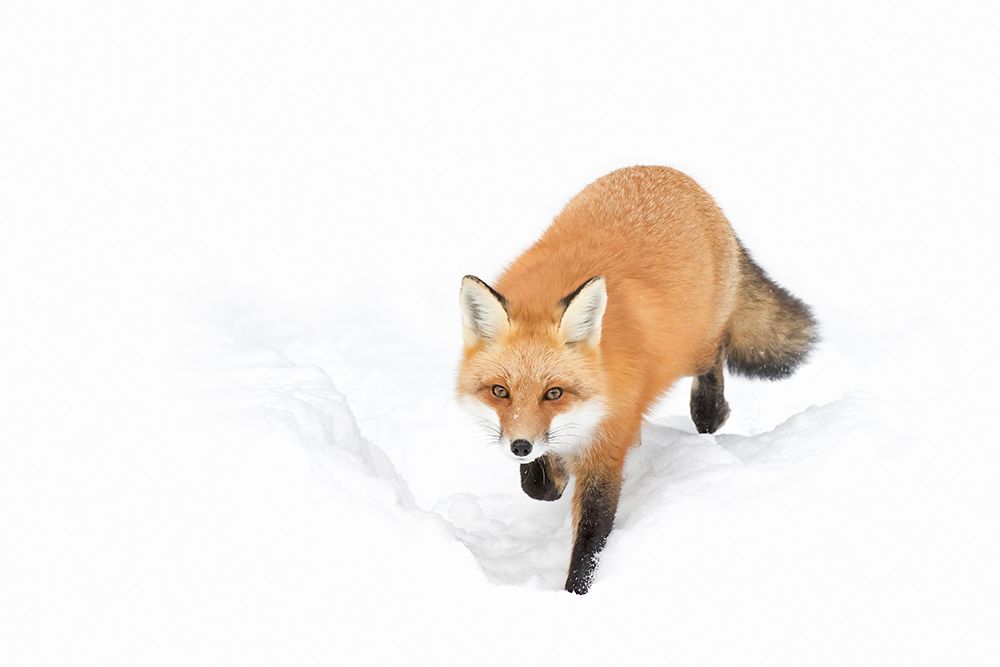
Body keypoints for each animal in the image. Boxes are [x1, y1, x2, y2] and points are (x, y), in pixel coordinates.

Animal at [457, 166, 817, 594]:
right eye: (500, 391)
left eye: (554, 393)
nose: (520, 447)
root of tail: (668, 172)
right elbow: (540, 485)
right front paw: (553, 474)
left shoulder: (609, 446)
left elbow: (592, 536)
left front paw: (576, 594)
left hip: (692, 346)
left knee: (716, 355)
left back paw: (711, 411)